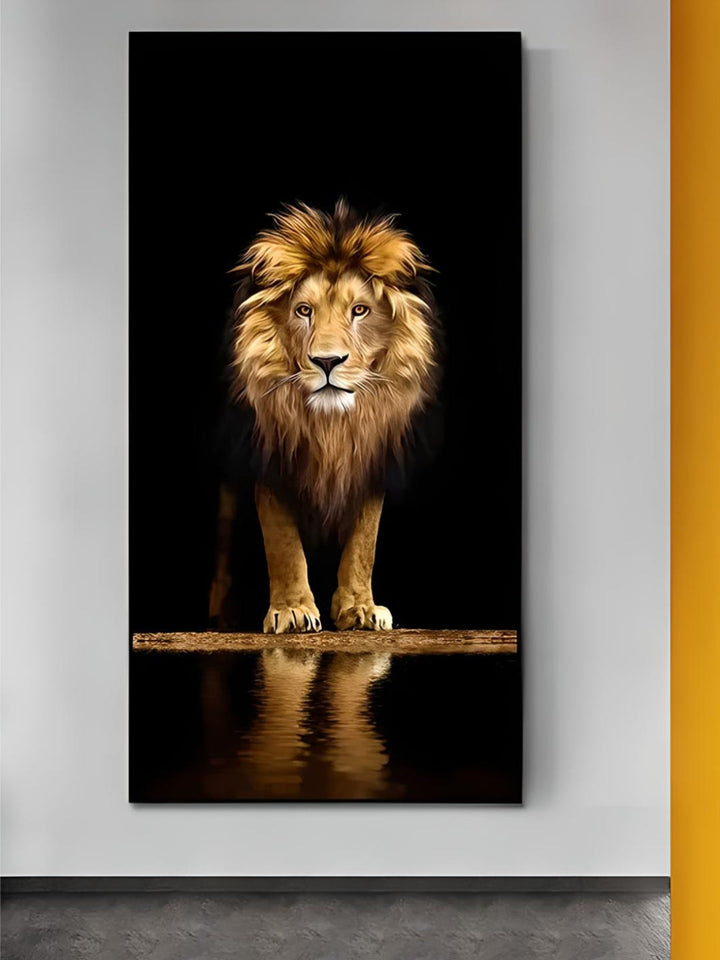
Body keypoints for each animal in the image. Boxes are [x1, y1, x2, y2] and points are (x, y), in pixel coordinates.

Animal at [210, 200, 441, 634]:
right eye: (304, 310)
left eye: (360, 310)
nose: (328, 361)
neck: (331, 426)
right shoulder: (270, 458)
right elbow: (282, 541)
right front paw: (293, 610)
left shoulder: (371, 459)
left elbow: (364, 542)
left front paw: (360, 608)